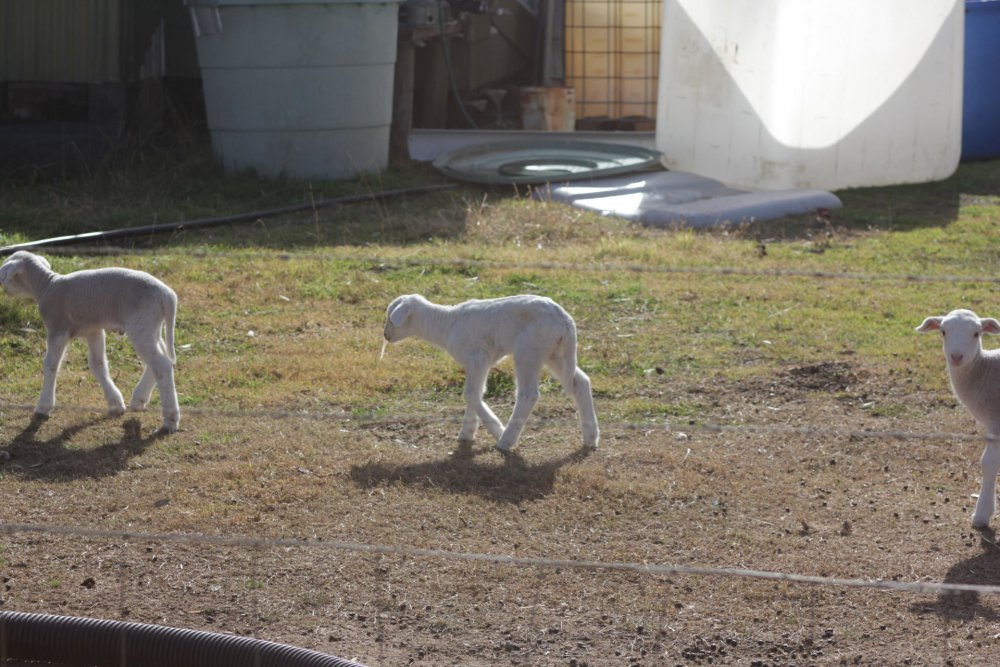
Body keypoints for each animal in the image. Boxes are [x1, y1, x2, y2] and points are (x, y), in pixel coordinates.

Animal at [0, 251, 180, 433]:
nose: (4, 289)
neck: (45, 285)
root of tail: (167, 295)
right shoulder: (93, 330)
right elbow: (97, 364)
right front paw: (115, 403)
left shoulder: (58, 329)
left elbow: (51, 365)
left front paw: (44, 406)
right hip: (151, 326)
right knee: (163, 358)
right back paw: (139, 399)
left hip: (141, 324)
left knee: (162, 365)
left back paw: (170, 419)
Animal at [383, 293, 599, 452]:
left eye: (391, 319)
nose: (385, 335)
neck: (445, 324)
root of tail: (565, 321)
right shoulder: (480, 363)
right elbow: (477, 393)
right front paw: (467, 433)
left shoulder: (477, 357)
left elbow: (470, 394)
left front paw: (496, 429)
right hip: (555, 353)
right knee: (580, 382)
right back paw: (591, 437)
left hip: (529, 350)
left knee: (528, 395)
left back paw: (505, 440)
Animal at [917, 308, 1000, 528]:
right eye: (943, 331)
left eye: (976, 334)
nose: (956, 356)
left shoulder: (996, 422)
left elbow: (988, 464)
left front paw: (981, 515)